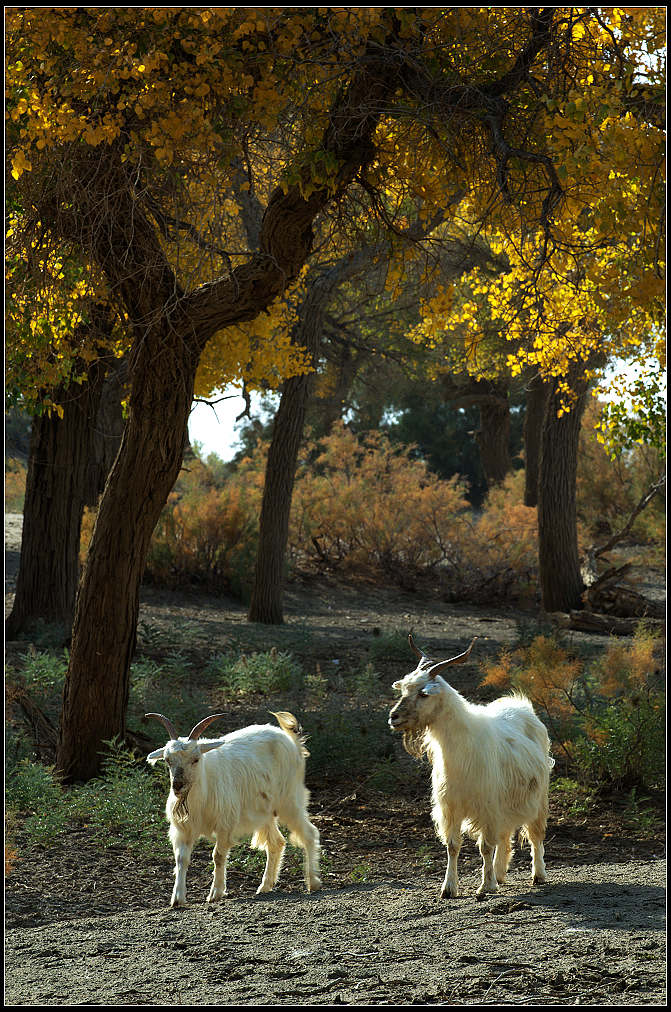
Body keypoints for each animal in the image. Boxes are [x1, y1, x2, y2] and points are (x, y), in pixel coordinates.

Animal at [146, 708, 323, 906]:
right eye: (168, 760)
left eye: (196, 759)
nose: (177, 785)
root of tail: (293, 742)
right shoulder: (183, 830)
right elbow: (181, 859)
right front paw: (177, 898)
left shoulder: (225, 824)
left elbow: (218, 856)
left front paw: (215, 893)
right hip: (264, 811)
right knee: (276, 842)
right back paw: (265, 886)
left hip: (289, 801)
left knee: (309, 833)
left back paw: (313, 882)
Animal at [390, 635, 554, 898]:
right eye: (404, 689)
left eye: (424, 694)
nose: (393, 717)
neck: (458, 750)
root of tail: (521, 705)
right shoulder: (451, 806)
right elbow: (452, 846)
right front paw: (449, 888)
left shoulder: (487, 805)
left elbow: (485, 846)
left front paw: (485, 886)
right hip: (505, 802)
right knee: (505, 835)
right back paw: (500, 873)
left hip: (537, 797)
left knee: (535, 834)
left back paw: (537, 874)